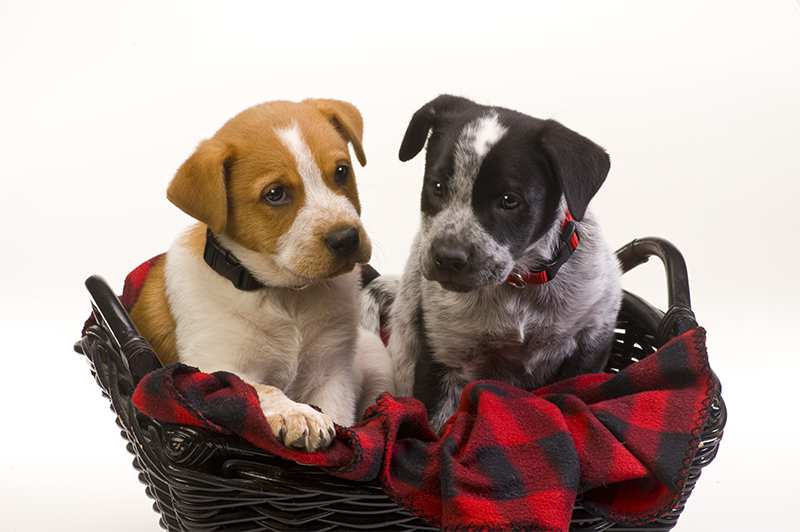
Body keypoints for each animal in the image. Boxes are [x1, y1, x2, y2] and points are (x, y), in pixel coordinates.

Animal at [130, 98, 396, 448]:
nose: (346, 238)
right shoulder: (208, 366)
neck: (288, 297)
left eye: (342, 171)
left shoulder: (332, 371)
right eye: (275, 193)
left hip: (376, 359)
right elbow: (254, 387)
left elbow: (340, 418)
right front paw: (298, 414)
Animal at [368, 94, 624, 428]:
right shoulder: (441, 354)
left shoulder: (593, 338)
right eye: (437, 186)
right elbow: (436, 429)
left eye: (509, 200)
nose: (447, 258)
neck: (519, 287)